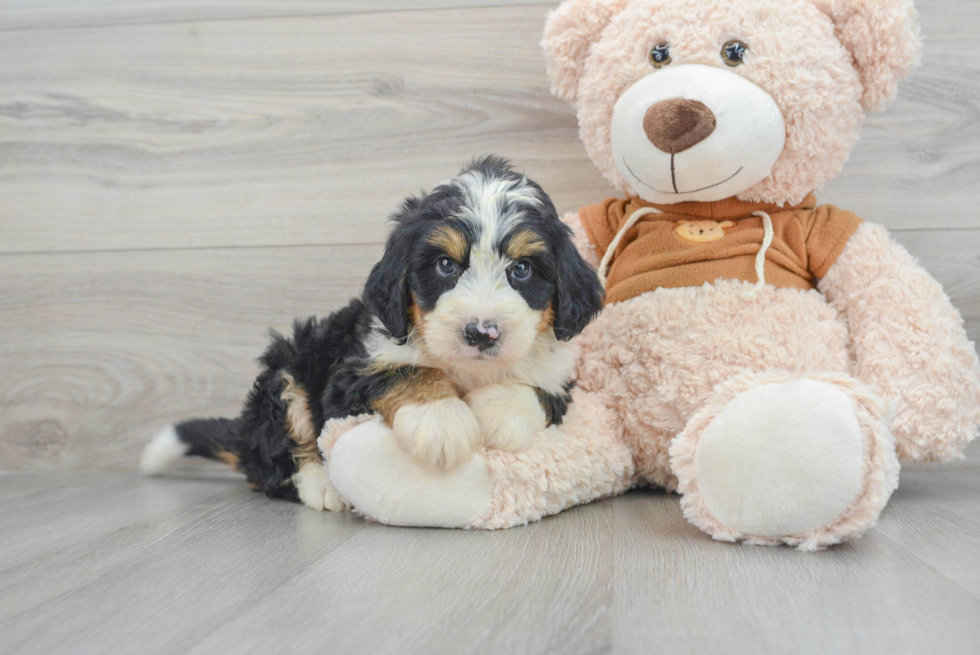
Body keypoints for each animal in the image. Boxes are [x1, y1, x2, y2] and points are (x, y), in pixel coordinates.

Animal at [140, 156, 604, 510]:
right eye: (445, 266)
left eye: (521, 270)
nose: (481, 333)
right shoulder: (352, 373)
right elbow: (407, 373)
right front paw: (442, 421)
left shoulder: (561, 372)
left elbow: (540, 390)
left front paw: (499, 410)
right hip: (287, 371)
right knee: (276, 459)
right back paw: (322, 485)